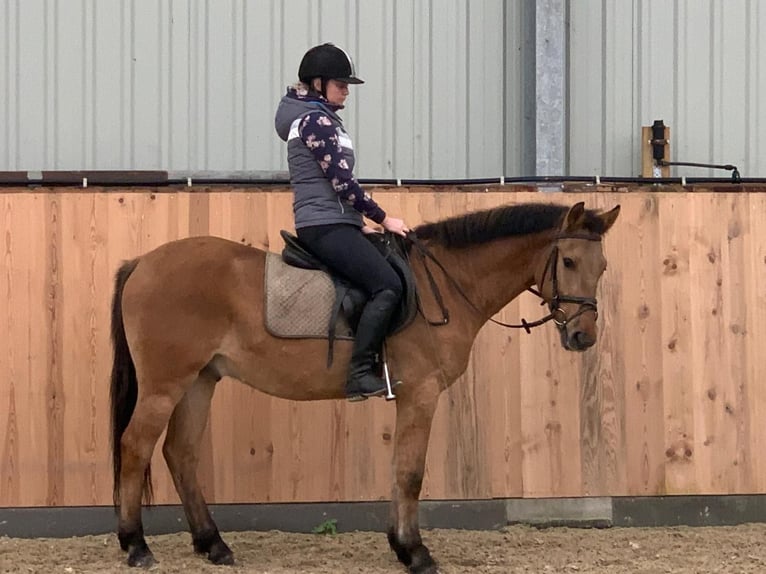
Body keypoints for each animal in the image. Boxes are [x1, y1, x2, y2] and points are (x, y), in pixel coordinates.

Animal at [109, 200, 620, 573]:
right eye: (568, 260)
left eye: (602, 267)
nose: (583, 337)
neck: (444, 286)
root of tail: (142, 263)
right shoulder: (421, 393)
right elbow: (411, 473)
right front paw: (416, 553)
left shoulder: (411, 396)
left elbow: (398, 469)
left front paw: (400, 545)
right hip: (166, 383)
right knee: (135, 448)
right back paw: (136, 546)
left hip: (201, 379)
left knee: (180, 453)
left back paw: (212, 544)